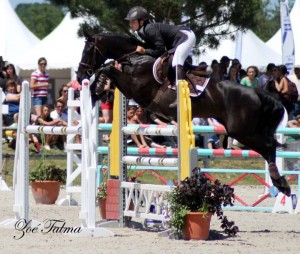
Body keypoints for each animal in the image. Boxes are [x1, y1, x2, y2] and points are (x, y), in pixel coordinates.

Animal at [77, 33, 290, 196]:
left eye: (87, 51)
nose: (79, 76)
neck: (136, 59)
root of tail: (256, 93)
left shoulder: (135, 90)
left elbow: (107, 67)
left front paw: (95, 89)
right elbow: (109, 69)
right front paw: (98, 90)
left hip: (242, 131)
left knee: (269, 147)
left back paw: (282, 184)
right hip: (242, 131)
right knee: (266, 149)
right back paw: (280, 183)